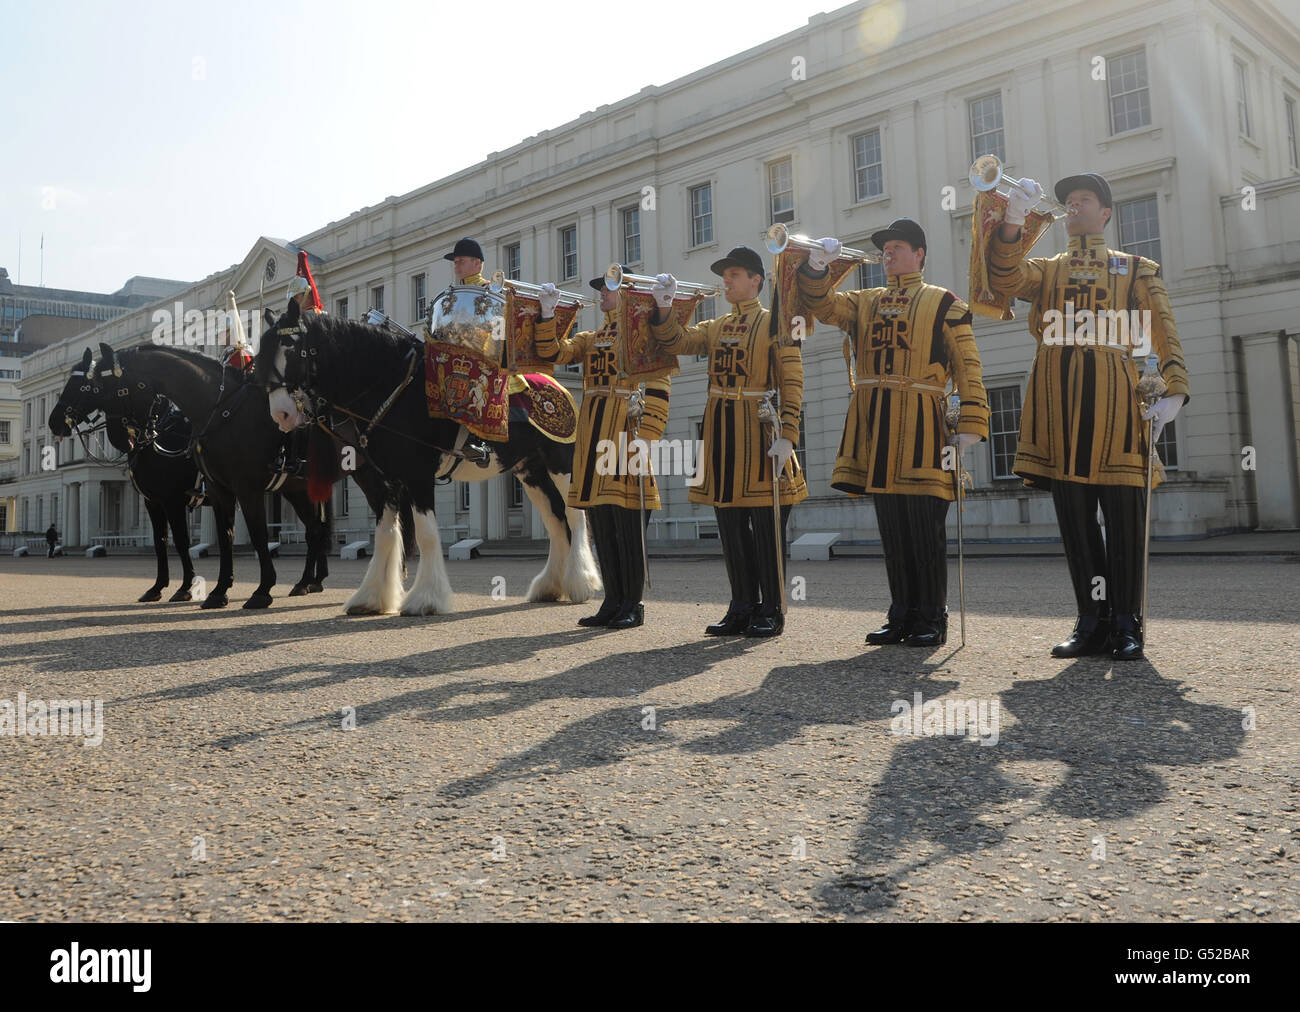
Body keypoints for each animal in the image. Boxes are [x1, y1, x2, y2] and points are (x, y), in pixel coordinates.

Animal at [49, 346, 201, 598]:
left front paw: (186, 586)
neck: (158, 438)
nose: (53, 422)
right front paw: (157, 587)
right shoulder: (153, 501)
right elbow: (160, 542)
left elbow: (181, 540)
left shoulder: (173, 500)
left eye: (82, 386)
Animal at [252, 297, 598, 613]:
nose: (281, 414)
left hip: (562, 463)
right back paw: (550, 585)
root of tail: (557, 385)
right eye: (261, 355)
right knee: (555, 521)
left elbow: (427, 534)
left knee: (574, 516)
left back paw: (581, 582)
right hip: (530, 471)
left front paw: (426, 598)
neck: (389, 390)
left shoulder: (418, 476)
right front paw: (371, 597)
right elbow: (386, 536)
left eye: (291, 347)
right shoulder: (382, 482)